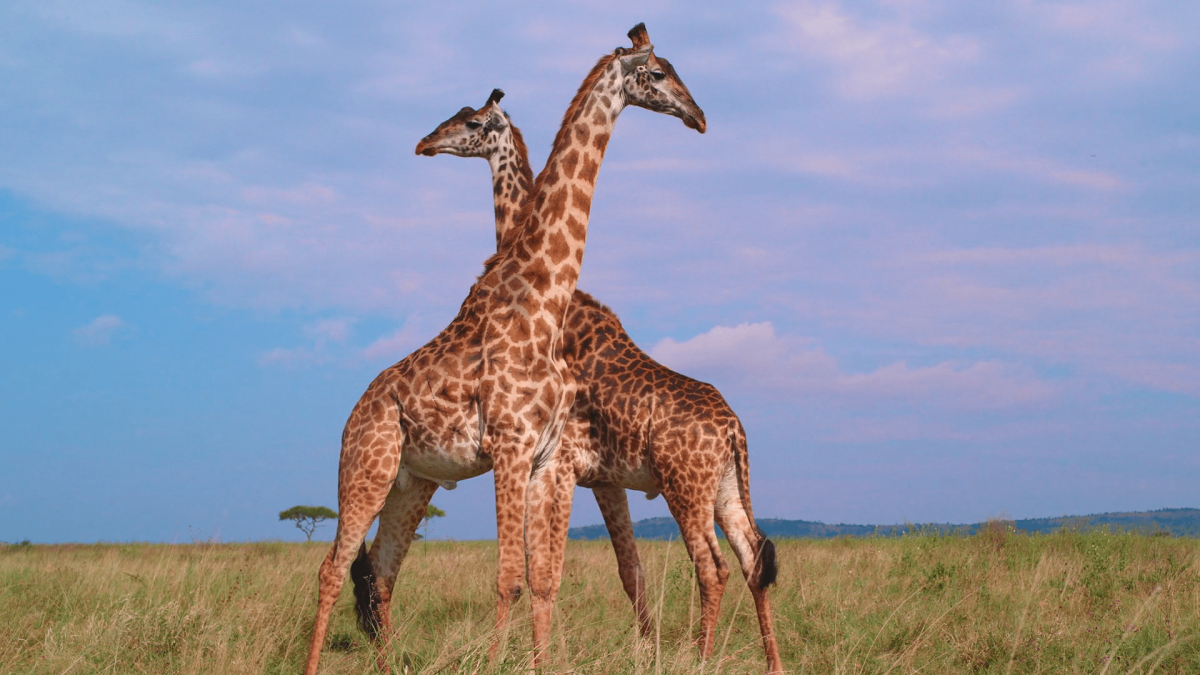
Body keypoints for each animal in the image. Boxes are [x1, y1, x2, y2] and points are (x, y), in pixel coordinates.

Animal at [304, 23, 705, 667]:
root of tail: (353, 415)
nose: (698, 116)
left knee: (382, 574)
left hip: (412, 481)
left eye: (470, 120)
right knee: (334, 569)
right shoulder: (512, 448)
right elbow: (511, 579)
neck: (541, 302)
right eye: (659, 73)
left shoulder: (543, 457)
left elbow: (539, 578)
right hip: (367, 468)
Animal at [410, 93, 787, 667]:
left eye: (470, 122)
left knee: (712, 566)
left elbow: (548, 570)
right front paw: (640, 653)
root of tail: (734, 429)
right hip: (725, 487)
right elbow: (627, 573)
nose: (426, 143)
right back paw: (772, 662)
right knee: (752, 560)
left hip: (687, 488)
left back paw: (701, 658)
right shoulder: (604, 478)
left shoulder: (563, 464)